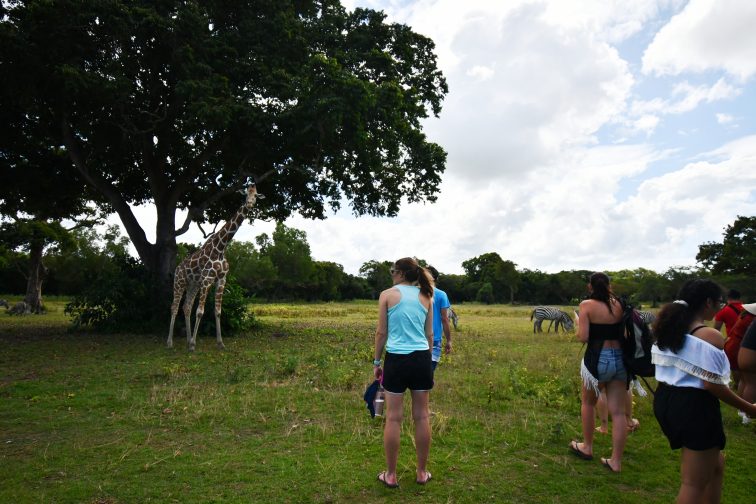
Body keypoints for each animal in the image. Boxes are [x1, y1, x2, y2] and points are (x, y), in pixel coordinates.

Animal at [167, 183, 262, 352]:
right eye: (245, 194)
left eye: (256, 195)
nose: (250, 204)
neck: (221, 248)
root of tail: (177, 268)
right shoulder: (207, 279)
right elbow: (200, 312)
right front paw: (194, 345)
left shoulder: (221, 280)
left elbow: (217, 312)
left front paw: (220, 343)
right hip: (179, 282)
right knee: (174, 307)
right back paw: (170, 342)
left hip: (193, 285)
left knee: (186, 307)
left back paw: (187, 340)